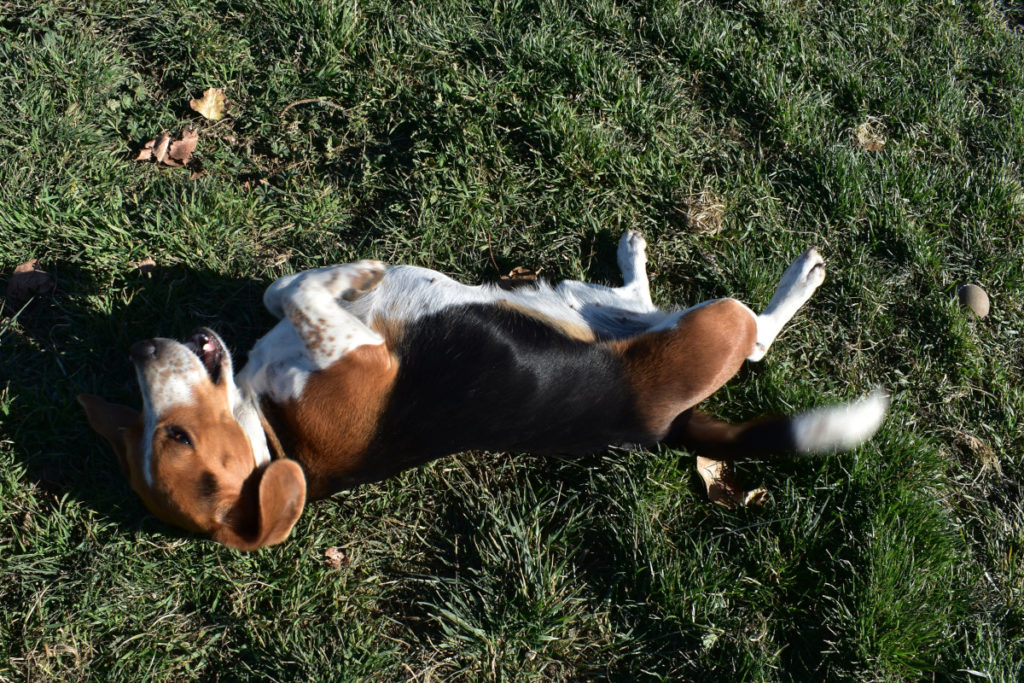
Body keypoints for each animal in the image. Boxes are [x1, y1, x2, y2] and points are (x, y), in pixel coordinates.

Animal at [77, 233, 888, 548]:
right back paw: (800, 278)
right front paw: (363, 273)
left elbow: (282, 288)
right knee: (754, 335)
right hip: (710, 328)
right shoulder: (358, 354)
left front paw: (353, 276)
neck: (278, 433)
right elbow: (304, 294)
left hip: (577, 304)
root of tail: (661, 429)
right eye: (173, 436)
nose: (141, 349)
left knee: (633, 299)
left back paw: (633, 252)